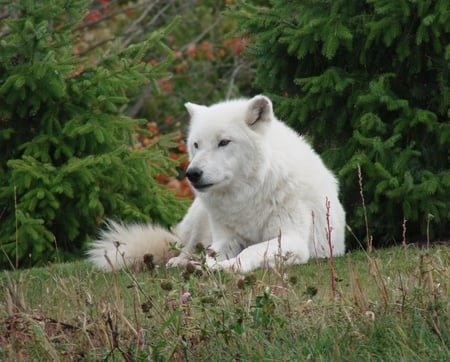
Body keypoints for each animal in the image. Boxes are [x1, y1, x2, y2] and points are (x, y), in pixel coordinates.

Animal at [87, 96, 344, 272]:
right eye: (196, 145)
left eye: (224, 142)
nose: (192, 174)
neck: (250, 194)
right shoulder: (225, 239)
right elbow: (211, 252)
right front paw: (205, 265)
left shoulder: (292, 239)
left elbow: (251, 249)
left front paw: (225, 267)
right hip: (199, 217)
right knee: (187, 247)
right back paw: (179, 261)